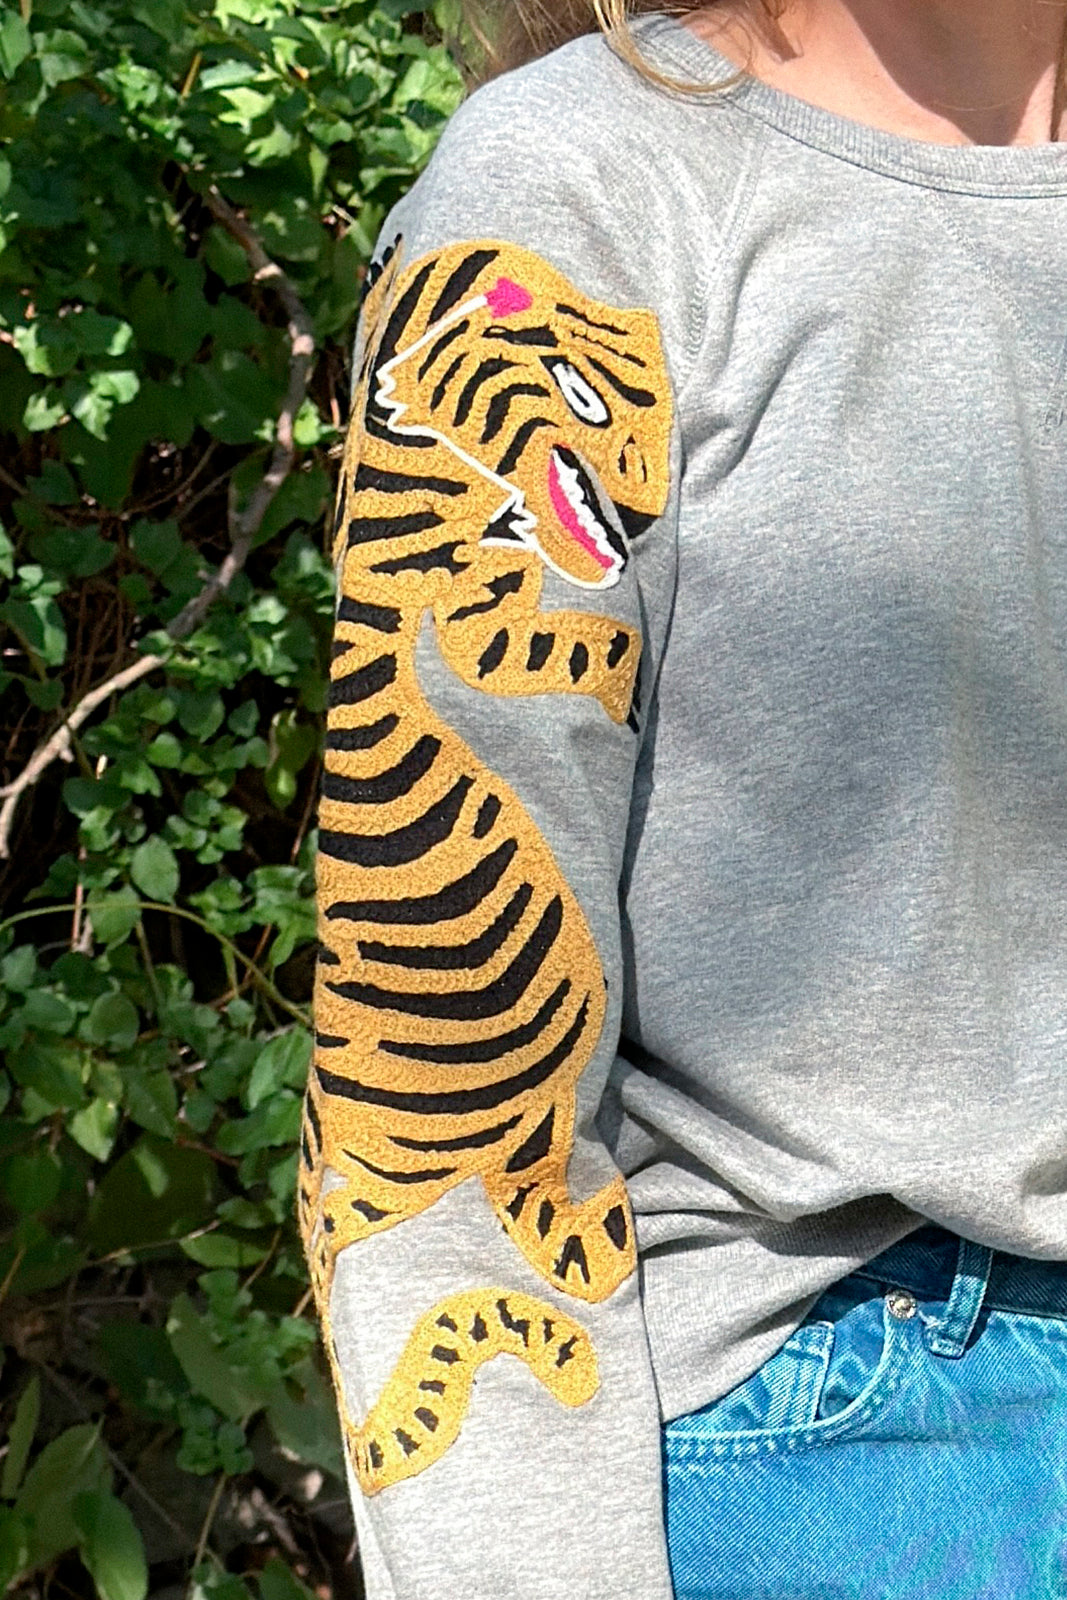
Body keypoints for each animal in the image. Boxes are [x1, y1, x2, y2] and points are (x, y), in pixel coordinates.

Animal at [299, 236, 673, 1494]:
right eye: (587, 403)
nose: (648, 494)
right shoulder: (452, 603)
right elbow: (561, 638)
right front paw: (615, 678)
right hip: (499, 1129)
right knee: (560, 1246)